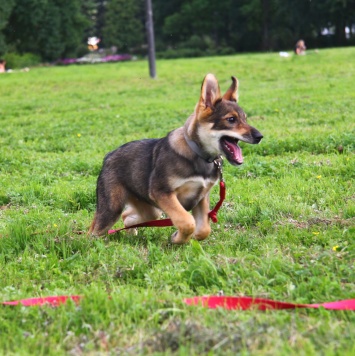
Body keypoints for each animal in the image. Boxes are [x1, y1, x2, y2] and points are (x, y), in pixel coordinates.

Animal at [89, 73, 262, 243]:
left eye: (245, 119)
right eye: (231, 119)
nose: (260, 137)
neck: (198, 154)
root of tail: (108, 156)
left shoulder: (201, 198)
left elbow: (204, 229)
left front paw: (188, 237)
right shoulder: (163, 193)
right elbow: (187, 221)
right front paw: (178, 239)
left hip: (150, 209)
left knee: (128, 216)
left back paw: (131, 234)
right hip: (112, 207)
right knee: (94, 229)